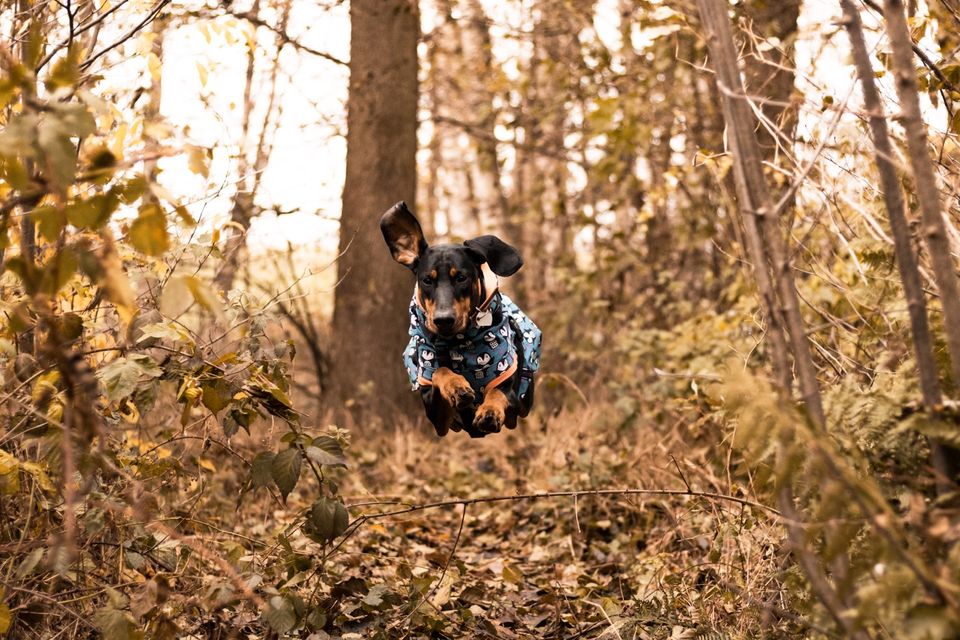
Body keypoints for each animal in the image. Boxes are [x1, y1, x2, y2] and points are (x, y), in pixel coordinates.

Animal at [380, 202, 544, 438]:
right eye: (427, 280)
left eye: (461, 277)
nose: (443, 320)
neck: (459, 343)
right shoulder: (438, 417)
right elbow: (439, 370)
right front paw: (457, 387)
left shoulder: (512, 398)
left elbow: (498, 392)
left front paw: (489, 411)